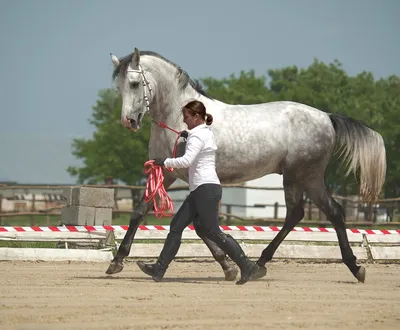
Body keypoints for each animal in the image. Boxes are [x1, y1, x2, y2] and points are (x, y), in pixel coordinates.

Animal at [105, 47, 384, 282]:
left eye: (134, 84)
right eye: (119, 88)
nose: (128, 121)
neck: (178, 118)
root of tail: (326, 117)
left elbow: (201, 226)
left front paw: (229, 266)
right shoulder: (167, 172)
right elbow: (142, 212)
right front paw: (116, 261)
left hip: (302, 175)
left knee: (316, 213)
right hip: (302, 178)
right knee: (312, 213)